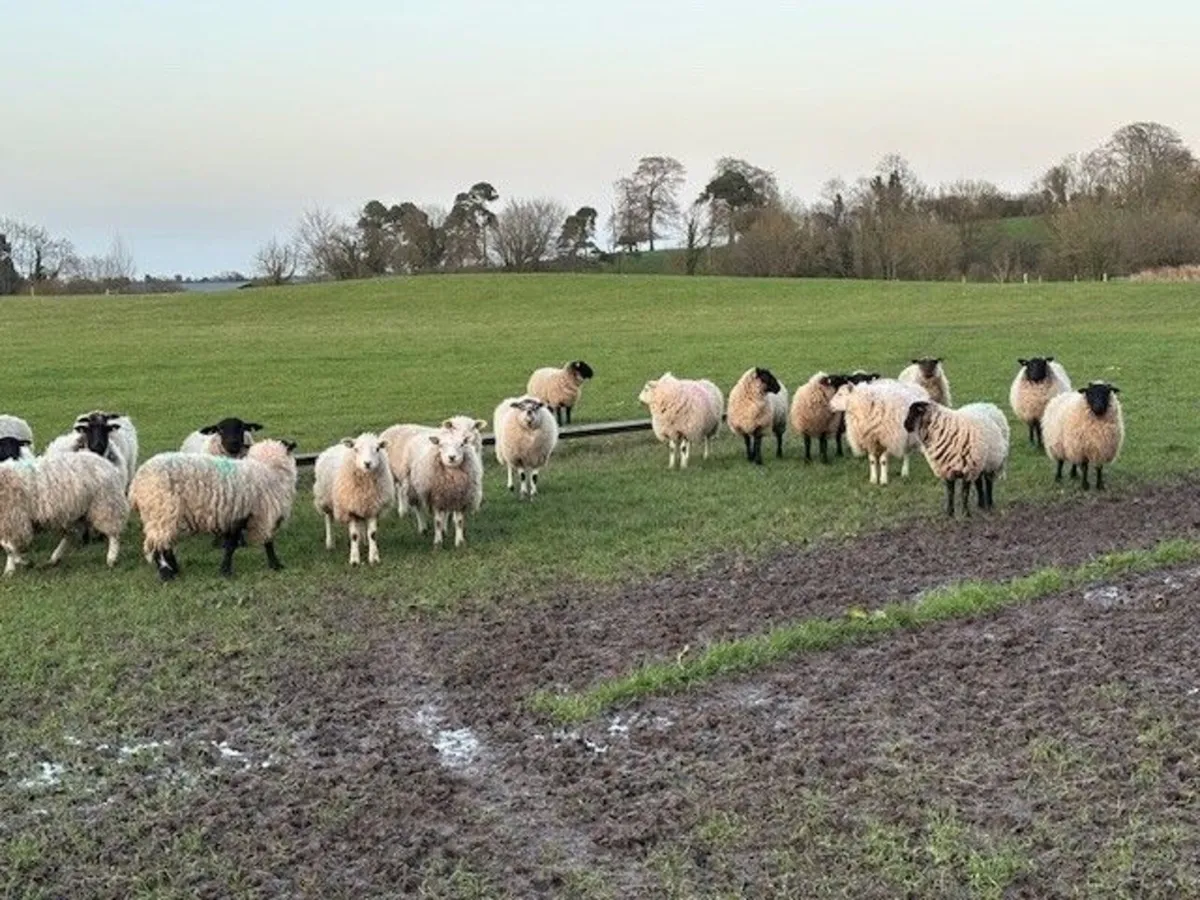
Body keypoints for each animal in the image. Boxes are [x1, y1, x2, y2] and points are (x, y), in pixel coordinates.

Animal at [0, 437, 129, 575]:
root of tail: (106, 463)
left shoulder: (14, 517)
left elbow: (8, 546)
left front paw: (20, 563)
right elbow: (7, 545)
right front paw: (10, 569)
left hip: (105, 503)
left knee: (113, 533)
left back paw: (111, 558)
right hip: (76, 512)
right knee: (70, 535)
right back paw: (54, 558)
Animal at [129, 439, 298, 580]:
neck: (266, 468)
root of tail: (136, 483)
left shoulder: (237, 514)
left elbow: (235, 544)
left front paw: (225, 569)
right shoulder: (255, 514)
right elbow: (260, 543)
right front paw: (275, 565)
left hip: (162, 515)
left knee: (165, 543)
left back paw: (175, 569)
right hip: (161, 511)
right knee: (157, 545)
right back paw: (166, 574)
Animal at [313, 433, 394, 565]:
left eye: (377, 449)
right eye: (356, 449)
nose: (367, 463)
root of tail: (335, 446)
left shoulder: (373, 507)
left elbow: (373, 534)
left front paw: (374, 557)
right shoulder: (349, 509)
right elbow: (354, 535)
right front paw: (355, 560)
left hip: (360, 505)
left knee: (361, 522)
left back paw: (364, 541)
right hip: (325, 499)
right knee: (328, 519)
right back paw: (330, 543)